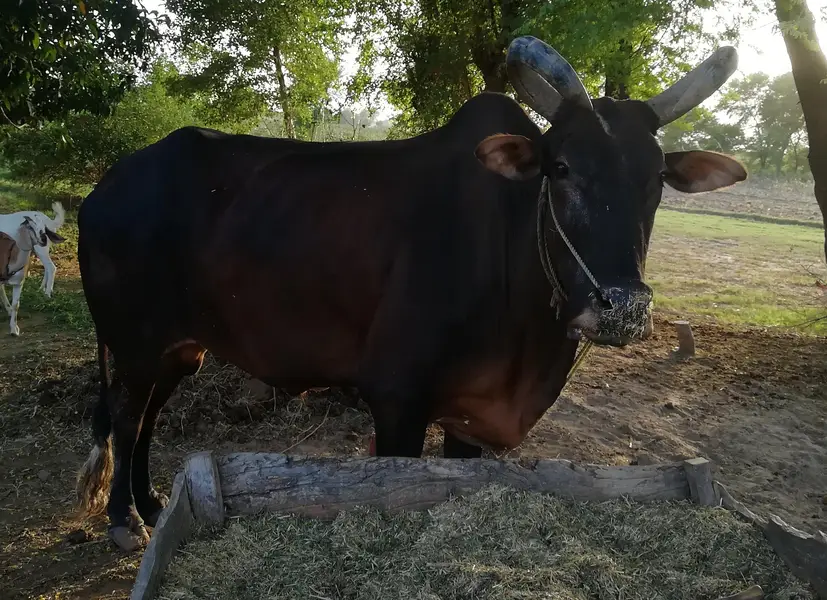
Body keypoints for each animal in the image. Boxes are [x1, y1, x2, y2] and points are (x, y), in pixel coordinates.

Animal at [75, 36, 746, 551]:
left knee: (148, 418)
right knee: (128, 418)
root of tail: (105, 186)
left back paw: (152, 504)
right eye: (561, 168)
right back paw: (124, 521)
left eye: (657, 178)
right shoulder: (396, 399)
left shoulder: (471, 415)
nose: (623, 309)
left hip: (178, 349)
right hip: (134, 344)